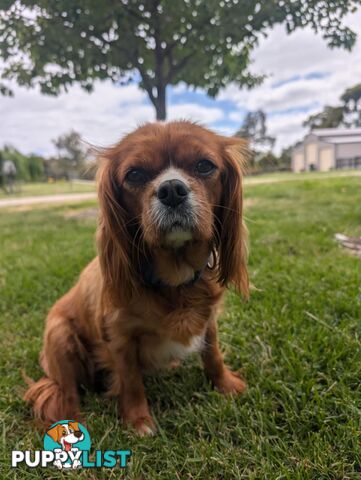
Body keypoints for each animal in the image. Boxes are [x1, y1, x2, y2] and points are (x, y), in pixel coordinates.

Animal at [25, 120, 249, 436]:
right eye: (135, 174)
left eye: (204, 166)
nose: (171, 189)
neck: (174, 281)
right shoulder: (120, 337)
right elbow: (130, 380)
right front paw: (139, 421)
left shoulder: (209, 320)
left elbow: (212, 353)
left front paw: (226, 385)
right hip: (60, 335)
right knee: (66, 392)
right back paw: (71, 425)